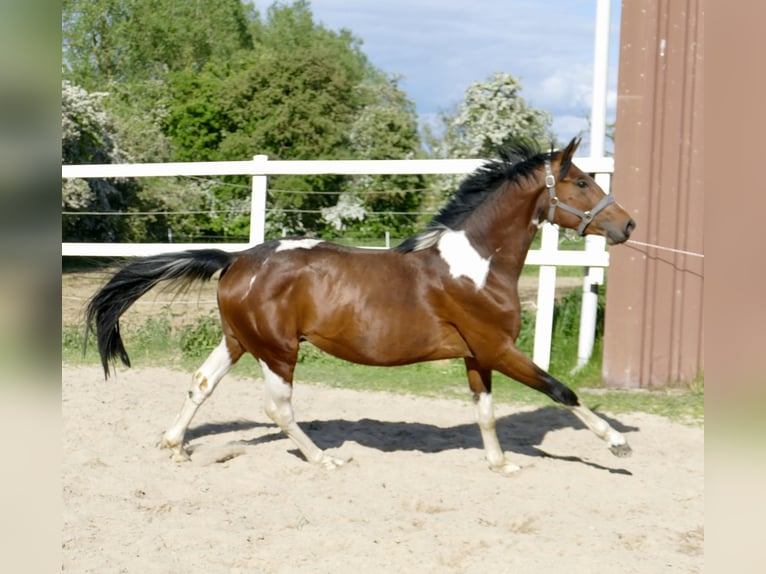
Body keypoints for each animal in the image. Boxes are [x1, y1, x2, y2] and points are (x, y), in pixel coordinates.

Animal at [85, 137, 636, 474]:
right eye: (582, 181)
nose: (627, 225)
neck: (477, 266)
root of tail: (237, 257)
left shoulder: (477, 355)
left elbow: (486, 413)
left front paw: (501, 464)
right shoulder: (497, 348)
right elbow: (561, 390)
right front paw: (617, 443)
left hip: (240, 339)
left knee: (202, 382)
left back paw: (174, 445)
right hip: (278, 350)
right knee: (277, 407)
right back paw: (324, 459)